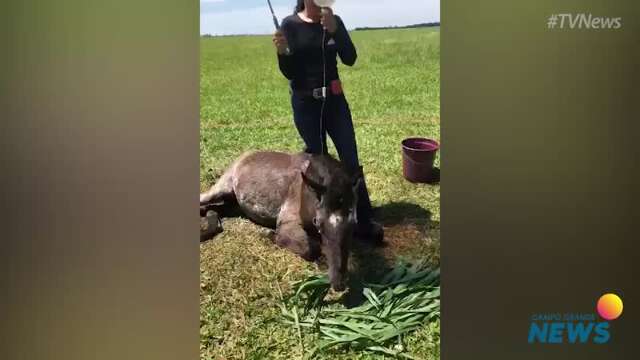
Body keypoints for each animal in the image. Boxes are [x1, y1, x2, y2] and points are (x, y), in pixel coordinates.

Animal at [200, 150, 362, 292]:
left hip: (232, 200)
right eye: (318, 222)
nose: (339, 284)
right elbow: (309, 248)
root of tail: (245, 155)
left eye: (354, 223)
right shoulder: (287, 222)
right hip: (223, 186)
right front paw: (270, 234)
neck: (306, 192)